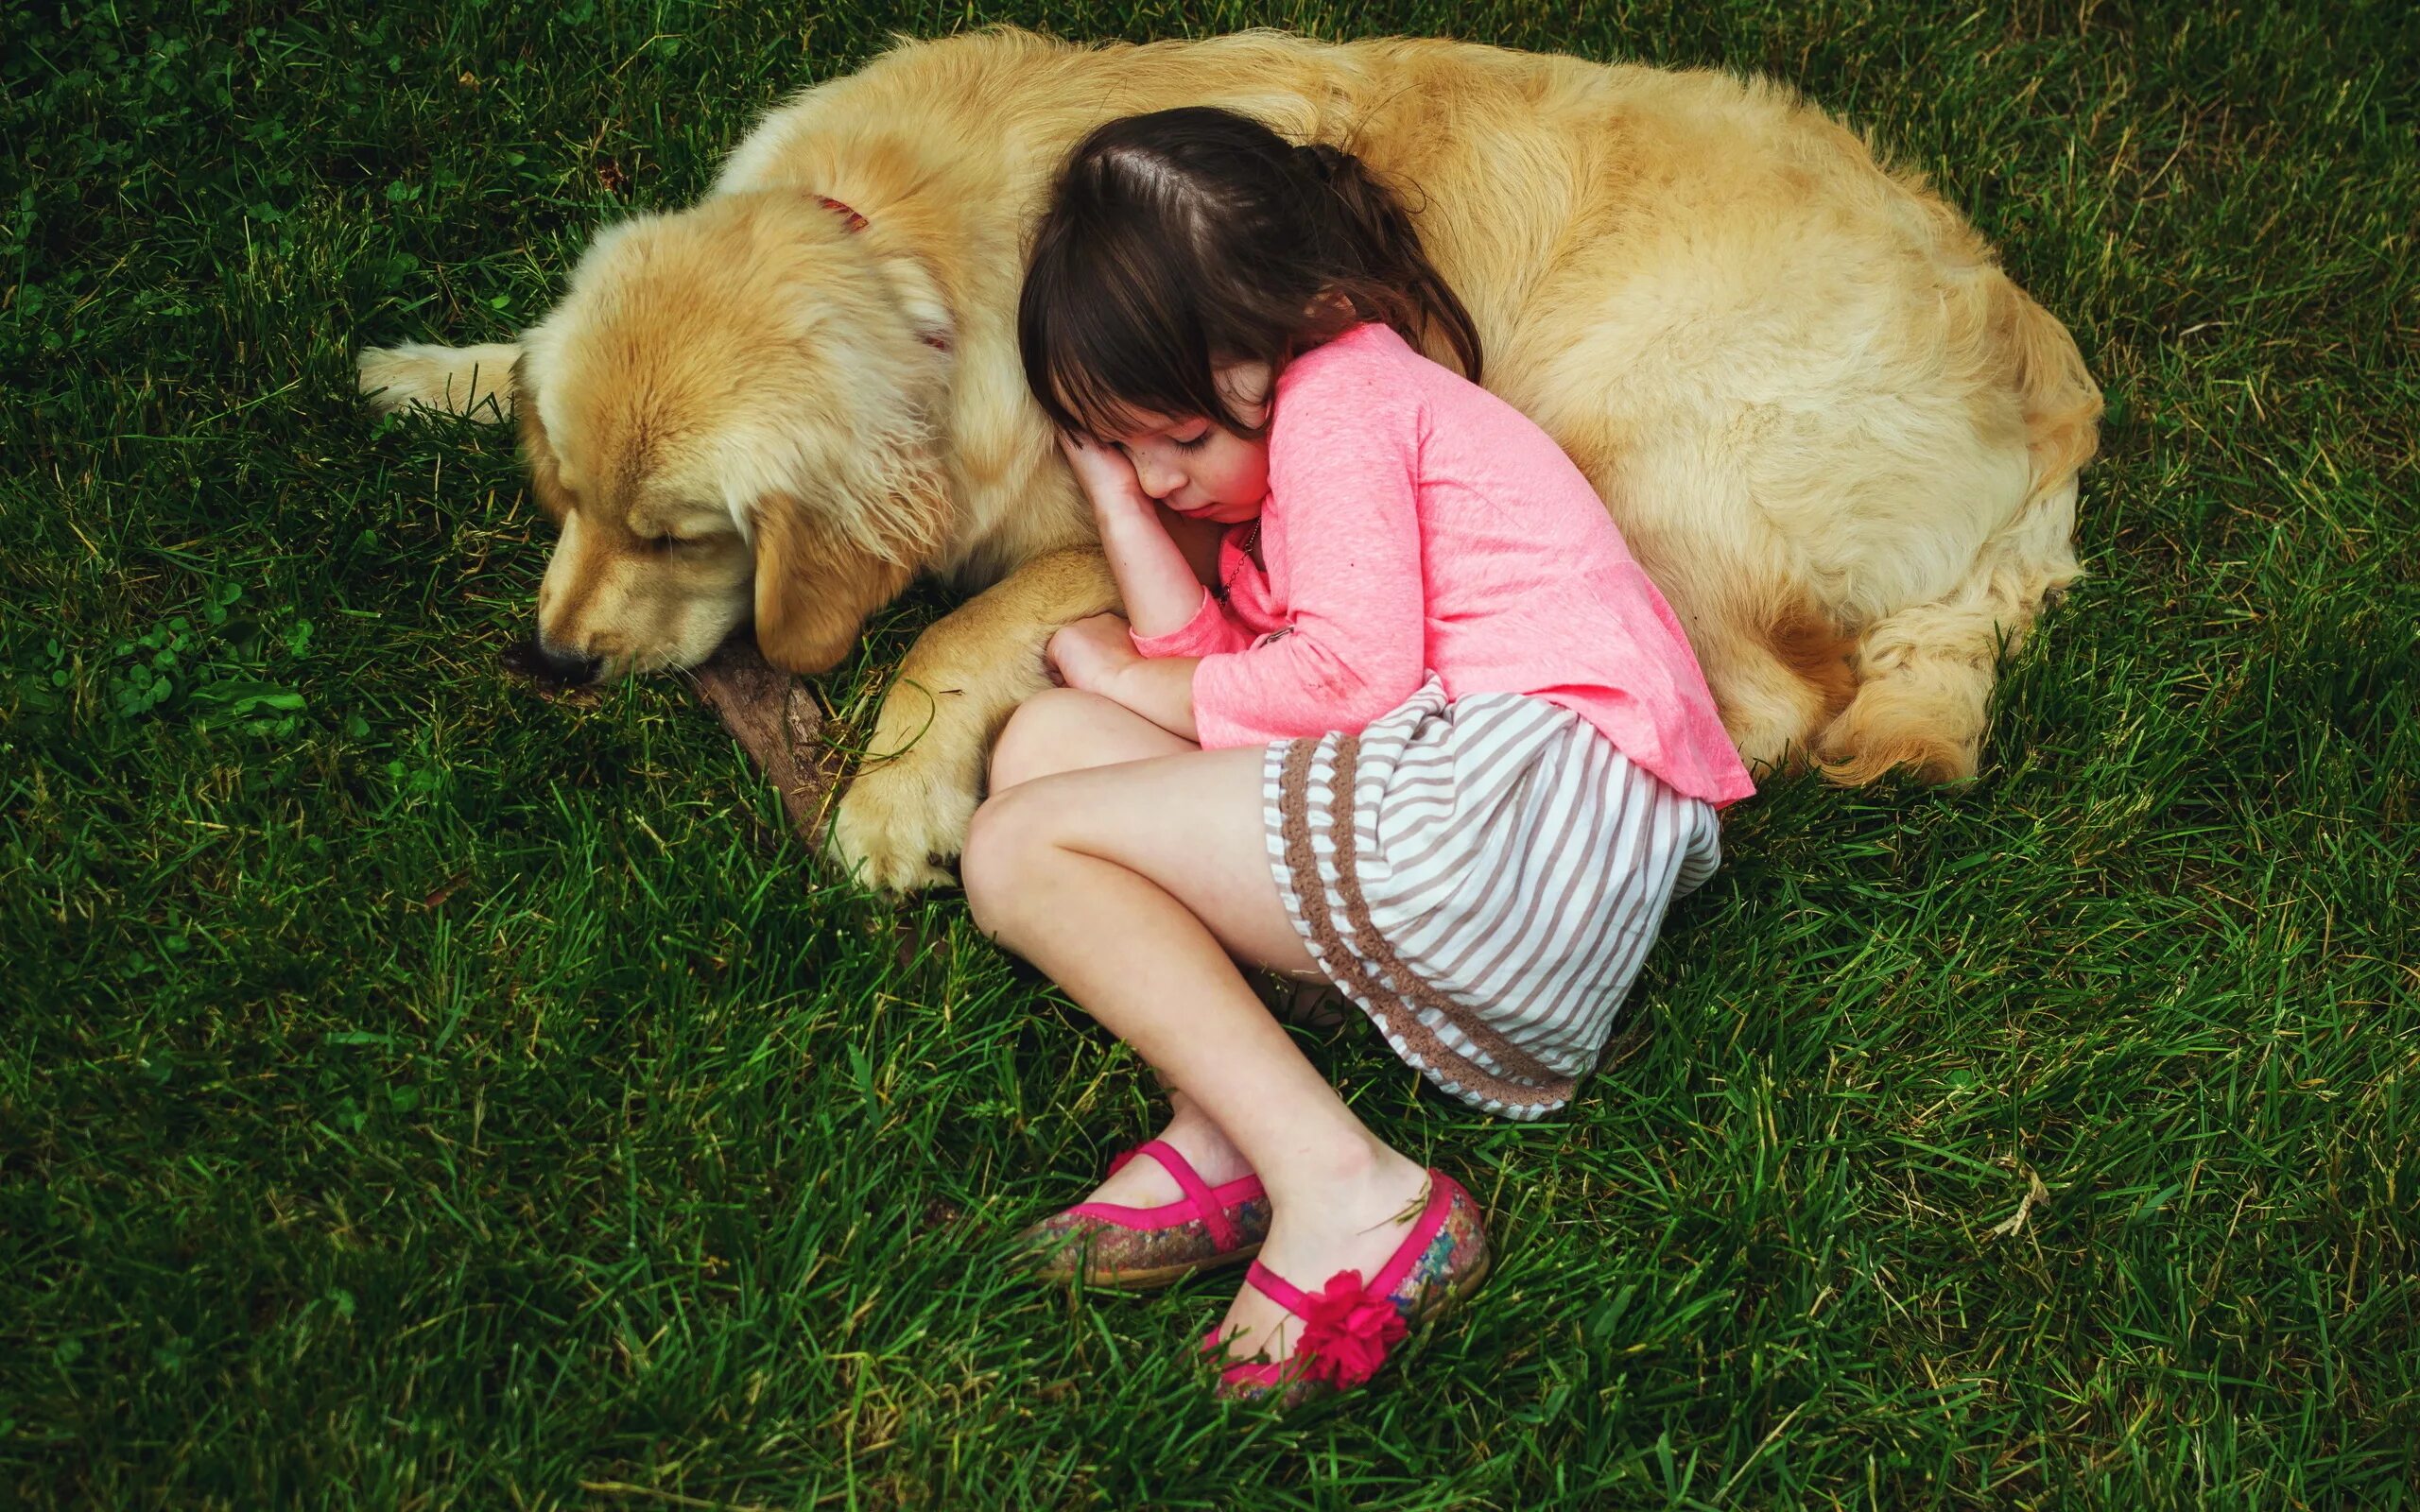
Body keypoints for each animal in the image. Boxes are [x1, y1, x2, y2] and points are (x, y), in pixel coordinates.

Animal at [353, 29, 2100, 890]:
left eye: (685, 535)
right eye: (569, 506)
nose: (549, 661)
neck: (901, 237)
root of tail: (2046, 378)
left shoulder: (1182, 510)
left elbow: (963, 620)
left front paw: (895, 792)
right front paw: (431, 371)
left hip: (1626, 436)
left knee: (1765, 703)